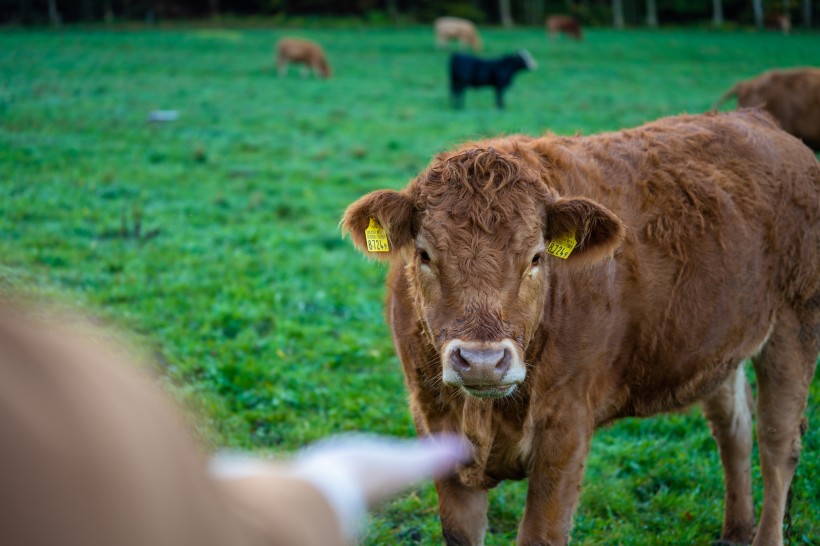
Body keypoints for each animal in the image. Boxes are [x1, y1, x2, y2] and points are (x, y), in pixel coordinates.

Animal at [342, 110, 820, 544]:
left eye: (536, 257)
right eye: (424, 254)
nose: (481, 361)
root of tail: (759, 121)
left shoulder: (566, 429)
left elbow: (541, 534)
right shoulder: (435, 423)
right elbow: (460, 532)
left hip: (795, 325)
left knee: (778, 444)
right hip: (719, 345)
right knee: (733, 429)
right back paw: (735, 532)